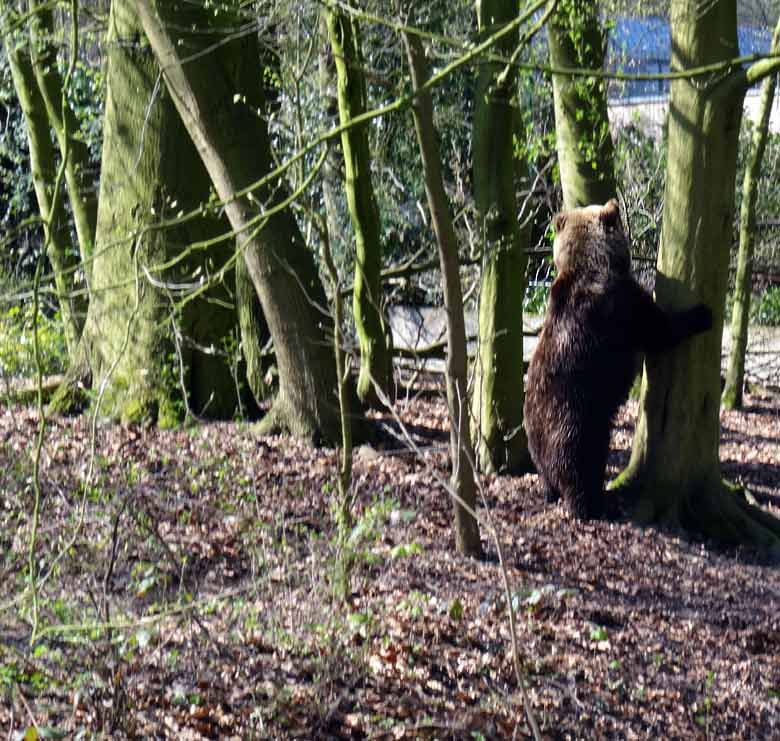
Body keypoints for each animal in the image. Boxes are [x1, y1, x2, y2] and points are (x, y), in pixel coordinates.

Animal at [524, 199, 712, 516]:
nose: (613, 202)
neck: (592, 262)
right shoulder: (621, 305)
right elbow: (659, 330)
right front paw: (701, 314)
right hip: (576, 418)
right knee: (580, 465)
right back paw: (591, 504)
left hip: (538, 433)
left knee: (549, 473)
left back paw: (551, 492)